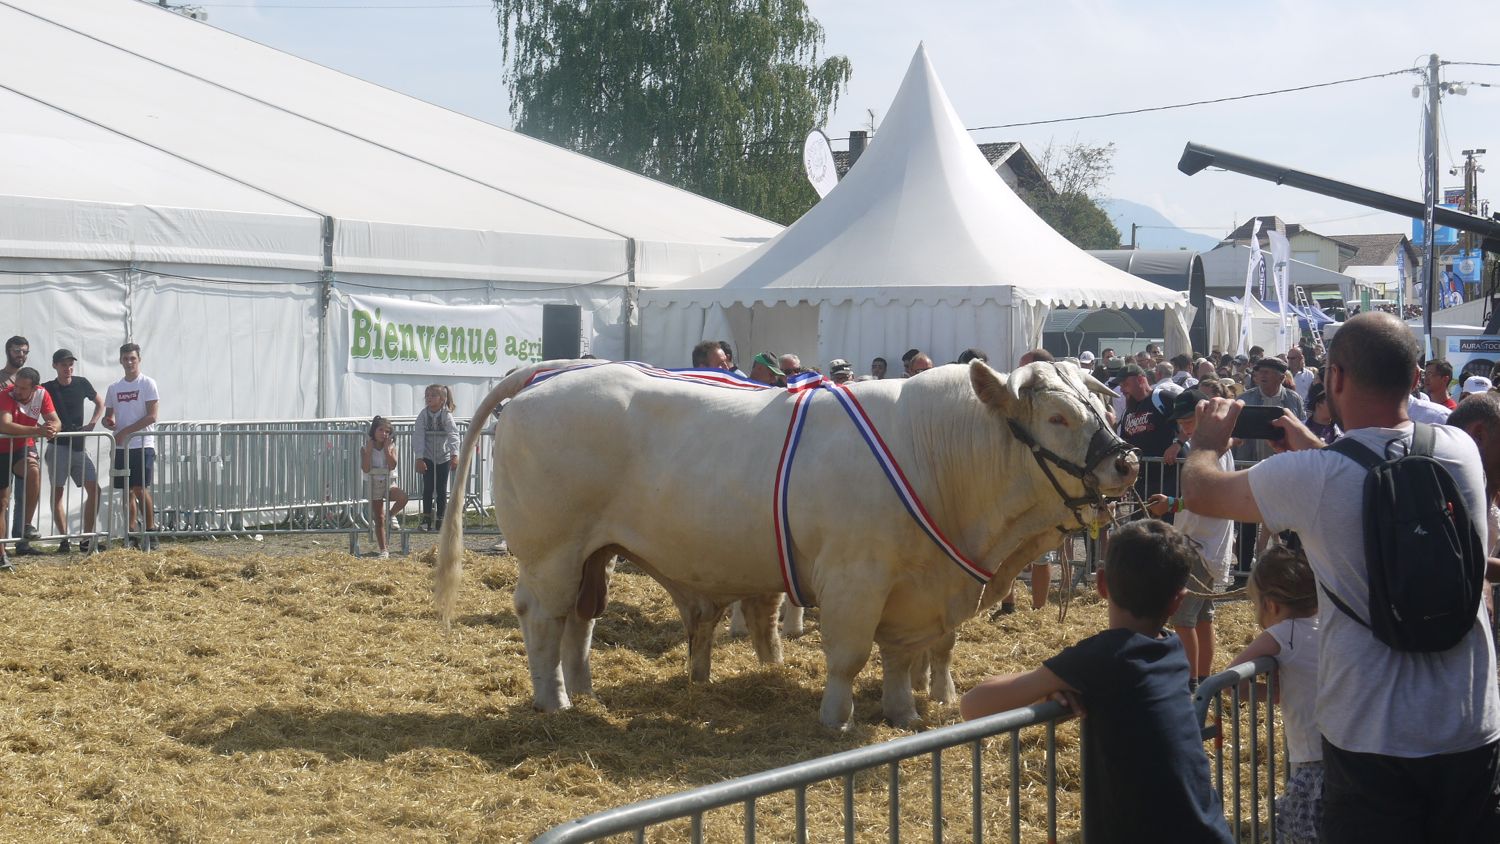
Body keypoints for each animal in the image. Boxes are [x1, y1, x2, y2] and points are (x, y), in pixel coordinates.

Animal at [436, 358, 1137, 729]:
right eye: (1058, 418)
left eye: (1101, 408)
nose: (1128, 462)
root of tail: (547, 377)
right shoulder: (856, 577)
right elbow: (850, 655)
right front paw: (835, 718)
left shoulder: (917, 588)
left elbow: (904, 656)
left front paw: (905, 716)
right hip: (550, 550)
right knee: (542, 617)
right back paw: (552, 700)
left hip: (594, 551)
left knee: (580, 619)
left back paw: (584, 694)